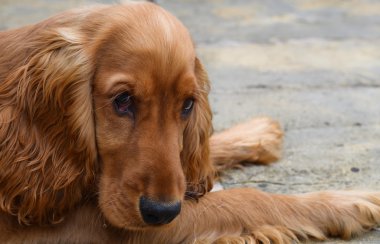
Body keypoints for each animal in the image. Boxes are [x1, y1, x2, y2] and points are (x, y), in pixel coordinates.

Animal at [0, 1, 380, 242]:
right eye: (123, 101)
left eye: (187, 105)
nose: (161, 211)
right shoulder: (83, 228)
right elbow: (246, 200)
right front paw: (343, 203)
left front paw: (255, 132)